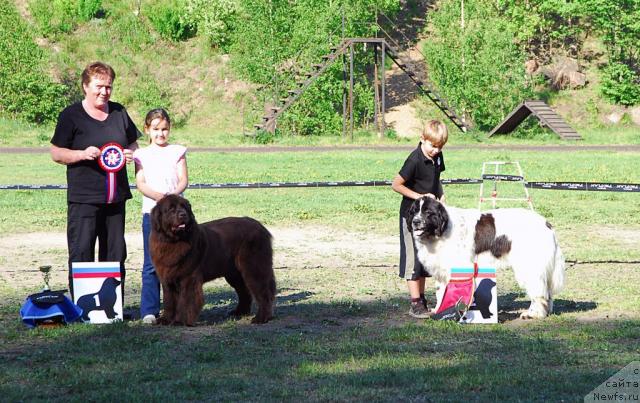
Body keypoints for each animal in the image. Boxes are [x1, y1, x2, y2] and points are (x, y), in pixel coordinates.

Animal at [152, 195, 278, 326]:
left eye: (184, 207)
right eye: (171, 209)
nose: (183, 215)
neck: (173, 242)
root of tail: (260, 225)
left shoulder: (188, 278)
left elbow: (186, 301)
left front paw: (180, 321)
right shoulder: (167, 278)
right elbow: (169, 301)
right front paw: (165, 320)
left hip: (254, 268)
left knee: (263, 293)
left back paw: (261, 318)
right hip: (235, 274)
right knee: (244, 291)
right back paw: (239, 312)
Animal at [410, 197, 564, 320]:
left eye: (428, 212)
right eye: (415, 211)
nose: (415, 222)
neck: (442, 230)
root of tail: (546, 224)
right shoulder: (441, 270)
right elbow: (440, 293)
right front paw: (439, 310)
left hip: (529, 266)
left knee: (539, 291)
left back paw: (534, 313)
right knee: (546, 291)